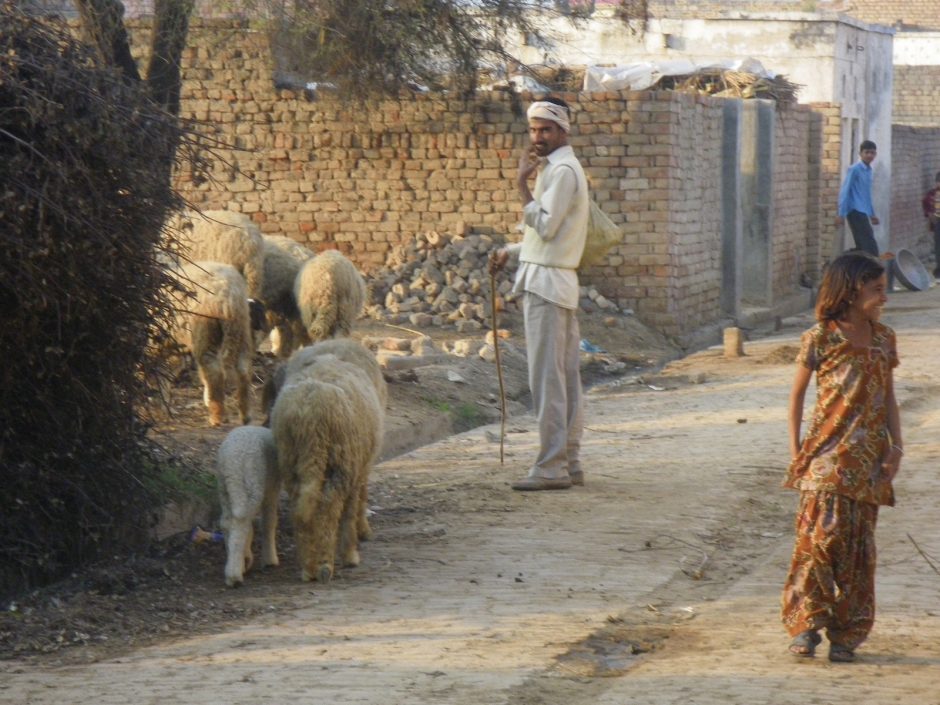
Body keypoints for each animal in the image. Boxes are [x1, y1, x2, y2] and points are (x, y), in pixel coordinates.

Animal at [167, 258, 252, 424]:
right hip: (241, 330)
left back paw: (217, 416)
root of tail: (229, 294)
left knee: (214, 372)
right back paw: (245, 415)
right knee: (243, 370)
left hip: (206, 332)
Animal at [268, 352, 382, 584]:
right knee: (329, 507)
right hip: (340, 463)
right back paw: (324, 564)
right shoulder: (357, 470)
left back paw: (308, 566)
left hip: (291, 460)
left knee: (301, 508)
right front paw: (350, 554)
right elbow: (351, 510)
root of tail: (309, 415)